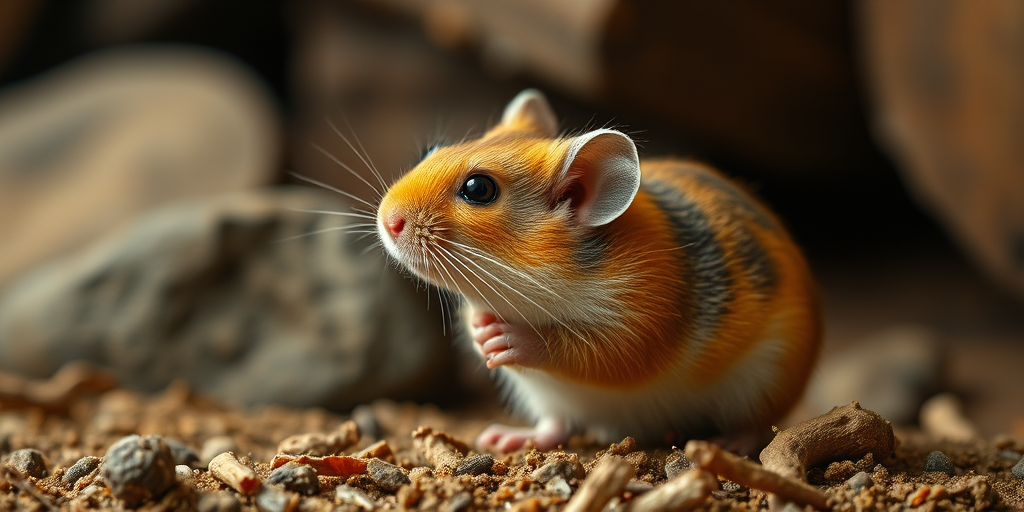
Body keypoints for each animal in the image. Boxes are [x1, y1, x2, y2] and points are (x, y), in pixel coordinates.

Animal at [376, 89, 821, 453]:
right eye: (430, 150)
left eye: (478, 189)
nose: (388, 220)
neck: (531, 287)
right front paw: (481, 332)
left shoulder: (639, 326)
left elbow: (580, 350)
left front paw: (508, 338)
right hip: (545, 398)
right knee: (555, 428)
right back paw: (508, 438)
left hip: (765, 380)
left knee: (756, 426)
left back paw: (729, 443)